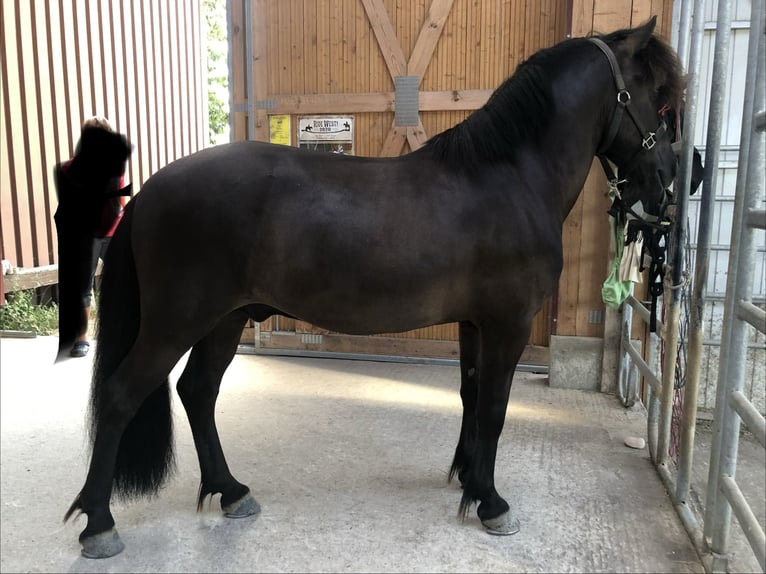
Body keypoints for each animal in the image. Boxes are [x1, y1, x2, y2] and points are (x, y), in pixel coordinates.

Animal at [64, 17, 686, 558]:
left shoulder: (474, 322)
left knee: (198, 391)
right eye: (660, 100)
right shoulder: (507, 323)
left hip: (225, 319)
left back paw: (232, 491)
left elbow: (471, 397)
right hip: (178, 321)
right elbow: (494, 408)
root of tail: (148, 191)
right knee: (121, 396)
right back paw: (99, 524)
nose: (665, 187)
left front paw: (468, 477)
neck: (510, 176)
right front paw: (491, 503)